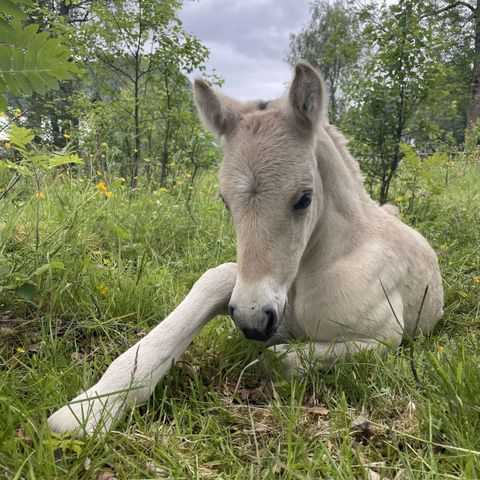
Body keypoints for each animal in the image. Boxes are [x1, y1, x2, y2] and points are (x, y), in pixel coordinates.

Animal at [48, 61, 442, 436]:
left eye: (304, 198)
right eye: (224, 200)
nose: (253, 321)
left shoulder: (386, 338)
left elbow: (277, 357)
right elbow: (211, 287)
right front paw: (91, 407)